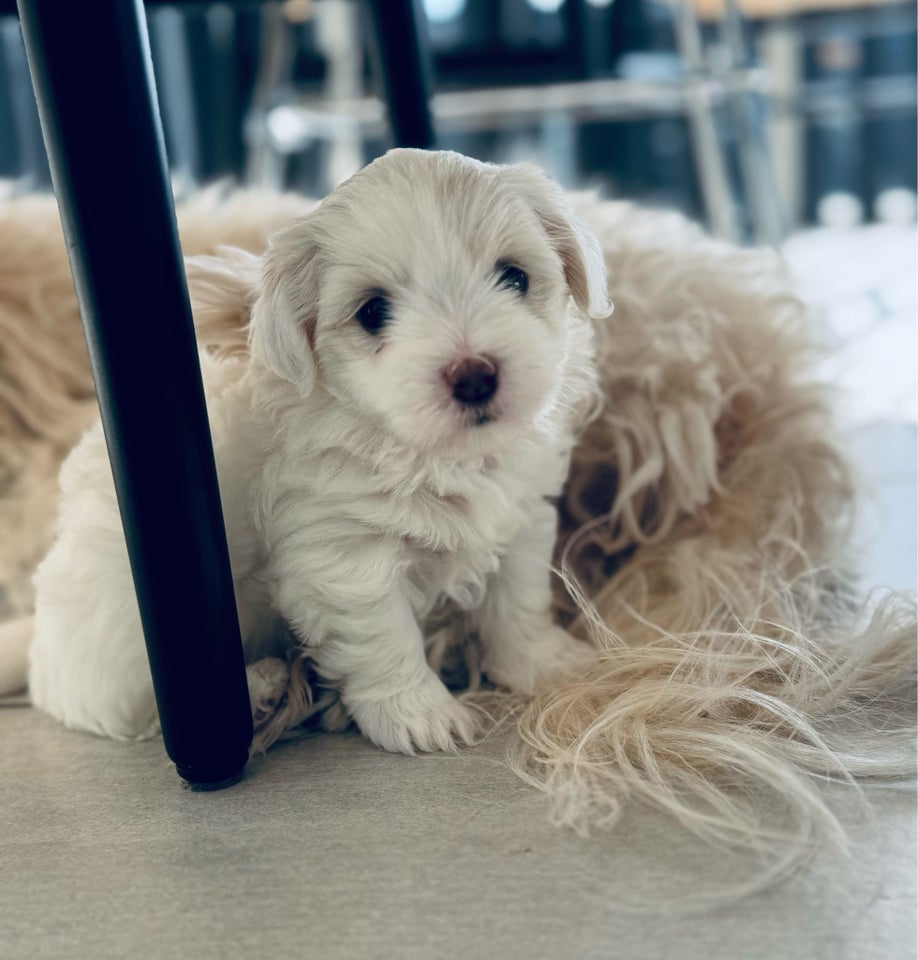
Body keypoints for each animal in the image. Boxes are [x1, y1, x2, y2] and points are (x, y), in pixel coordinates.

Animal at [28, 148, 612, 752]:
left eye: (514, 276)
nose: (474, 376)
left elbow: (516, 602)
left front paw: (548, 664)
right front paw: (422, 715)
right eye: (373, 312)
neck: (434, 453)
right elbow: (386, 637)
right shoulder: (343, 556)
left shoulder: (519, 516)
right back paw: (265, 691)